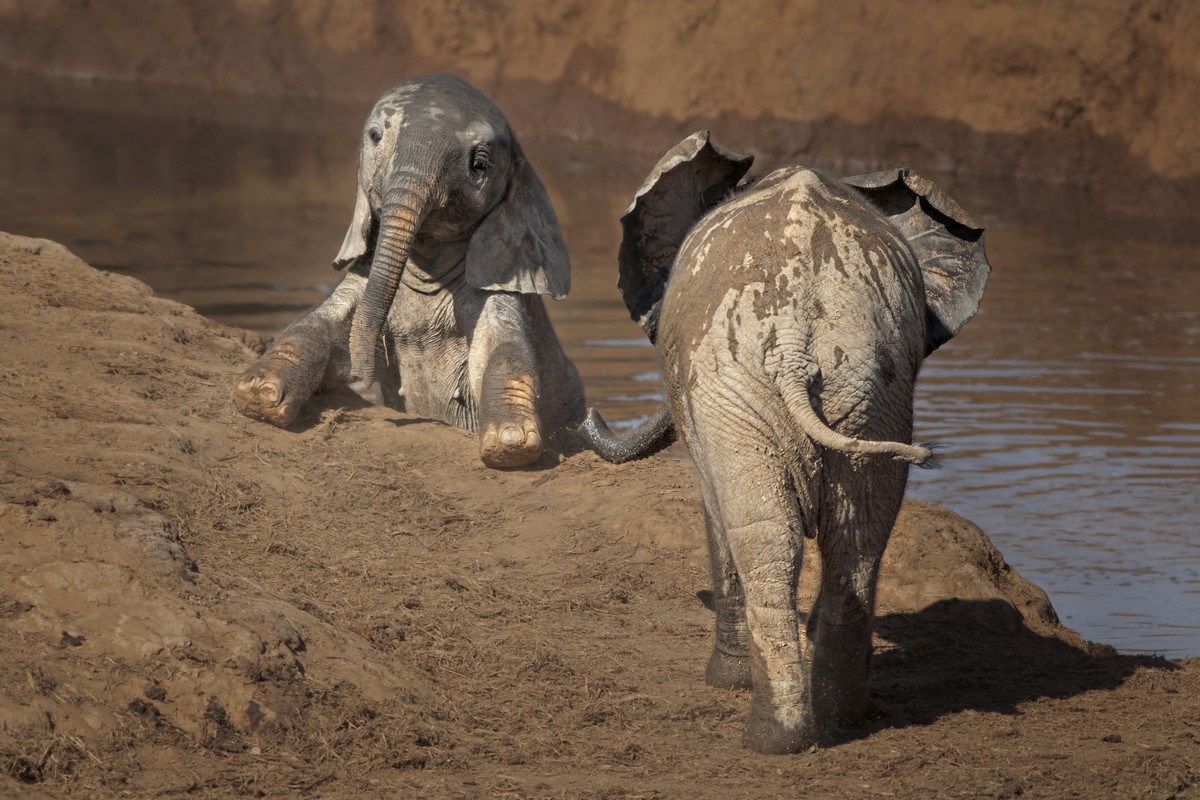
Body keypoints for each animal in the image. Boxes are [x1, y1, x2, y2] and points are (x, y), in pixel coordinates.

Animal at [232, 74, 580, 470]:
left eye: (480, 165)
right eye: (375, 136)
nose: (361, 377)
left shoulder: (497, 285)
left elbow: (503, 349)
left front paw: (510, 443)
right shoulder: (362, 278)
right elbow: (316, 324)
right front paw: (259, 394)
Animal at [583, 134, 993, 753]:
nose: (592, 414)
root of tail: (798, 337)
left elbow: (716, 515)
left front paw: (725, 683)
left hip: (740, 385)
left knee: (764, 537)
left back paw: (769, 737)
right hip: (867, 389)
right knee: (855, 538)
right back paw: (841, 721)